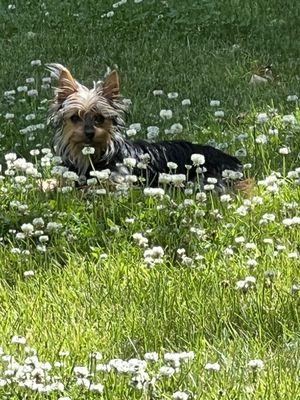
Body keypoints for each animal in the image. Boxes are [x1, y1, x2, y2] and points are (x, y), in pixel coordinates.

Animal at [47, 64, 244, 191]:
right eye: (75, 117)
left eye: (100, 118)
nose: (89, 133)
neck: (91, 158)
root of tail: (234, 161)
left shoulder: (119, 182)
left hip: (204, 178)